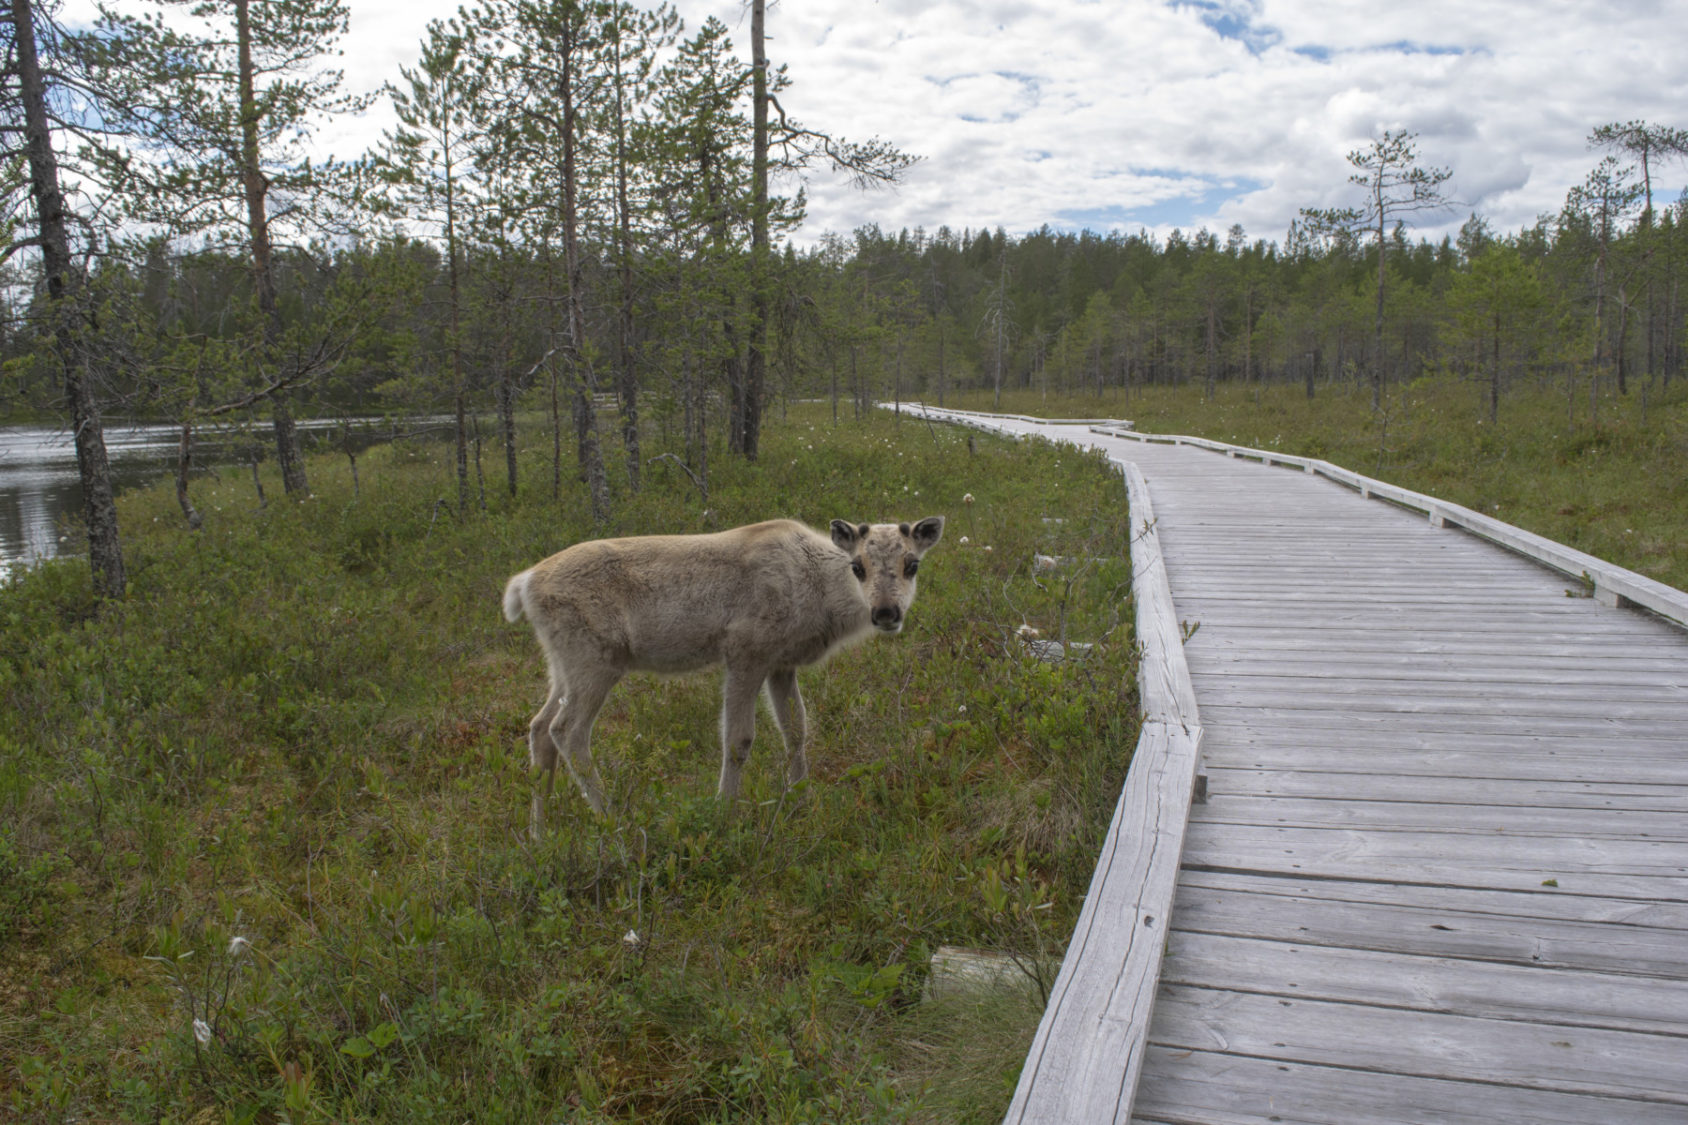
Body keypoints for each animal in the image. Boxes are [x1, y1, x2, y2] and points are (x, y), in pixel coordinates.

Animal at [499, 513, 952, 827]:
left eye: (912, 564)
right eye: (857, 566)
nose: (886, 612)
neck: (818, 591)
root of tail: (524, 584)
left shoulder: (781, 663)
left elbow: (796, 731)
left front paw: (800, 801)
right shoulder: (745, 652)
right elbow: (738, 740)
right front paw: (724, 811)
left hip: (562, 664)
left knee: (538, 726)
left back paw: (539, 831)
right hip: (595, 661)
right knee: (566, 730)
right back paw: (612, 818)